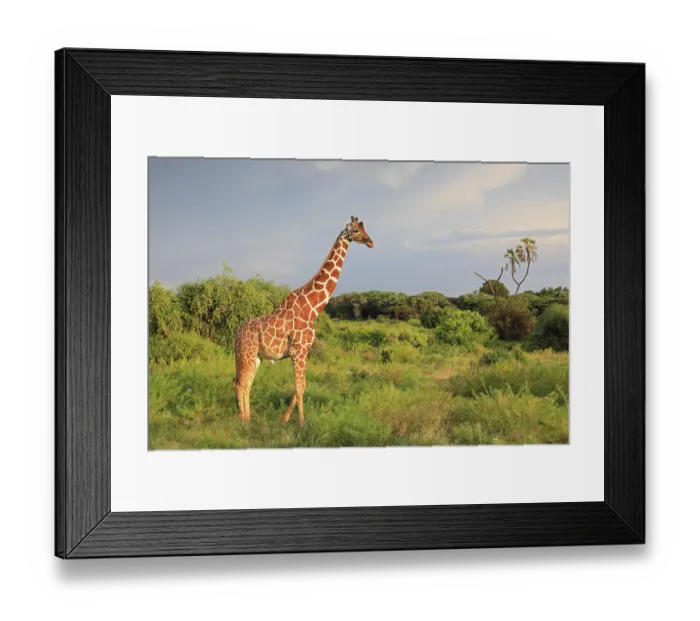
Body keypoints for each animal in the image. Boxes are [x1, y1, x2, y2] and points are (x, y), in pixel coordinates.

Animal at [233, 216, 374, 426]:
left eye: (365, 229)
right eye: (356, 230)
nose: (370, 242)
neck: (313, 308)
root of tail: (236, 333)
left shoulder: (302, 352)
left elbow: (302, 386)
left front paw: (284, 419)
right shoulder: (299, 351)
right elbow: (300, 387)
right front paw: (300, 423)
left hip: (255, 356)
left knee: (244, 383)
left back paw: (248, 419)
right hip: (247, 354)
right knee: (241, 383)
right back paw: (243, 421)